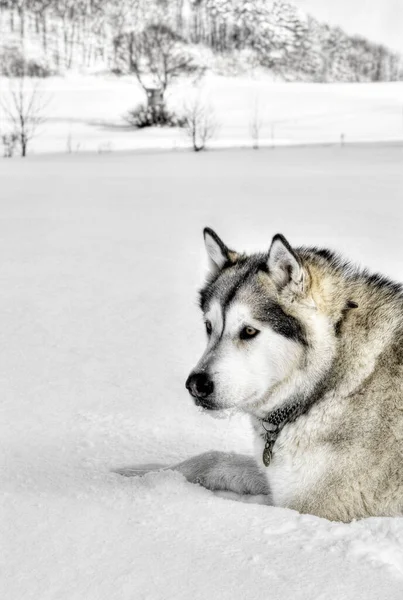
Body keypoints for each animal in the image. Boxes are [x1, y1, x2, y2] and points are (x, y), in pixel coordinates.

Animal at [120, 232, 403, 524]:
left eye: (248, 331)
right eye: (209, 327)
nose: (196, 385)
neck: (326, 383)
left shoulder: (314, 507)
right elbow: (213, 458)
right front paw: (144, 474)